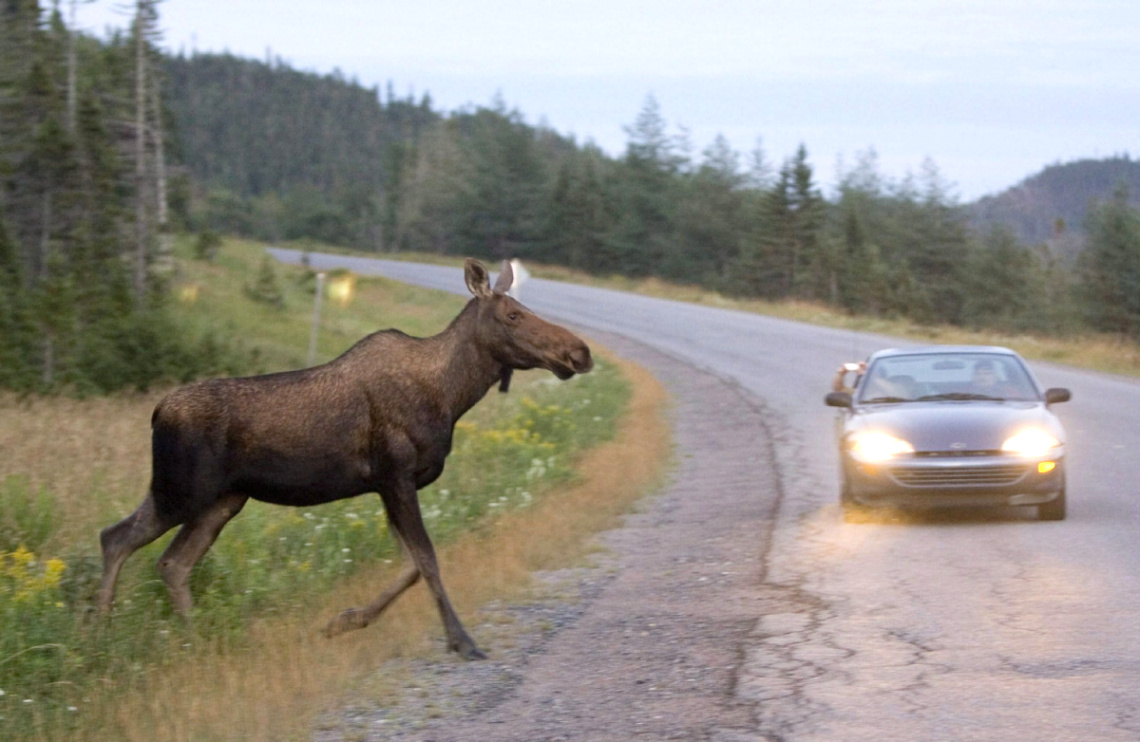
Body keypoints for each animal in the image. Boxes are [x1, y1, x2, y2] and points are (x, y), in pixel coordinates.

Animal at [96, 258, 592, 661]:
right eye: (513, 314)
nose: (580, 351)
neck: (452, 396)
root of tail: (157, 412)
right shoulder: (395, 474)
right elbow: (427, 559)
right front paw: (462, 640)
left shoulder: (390, 485)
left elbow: (410, 565)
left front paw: (343, 621)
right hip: (182, 490)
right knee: (117, 538)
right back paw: (100, 634)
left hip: (220, 500)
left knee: (170, 562)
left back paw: (190, 639)